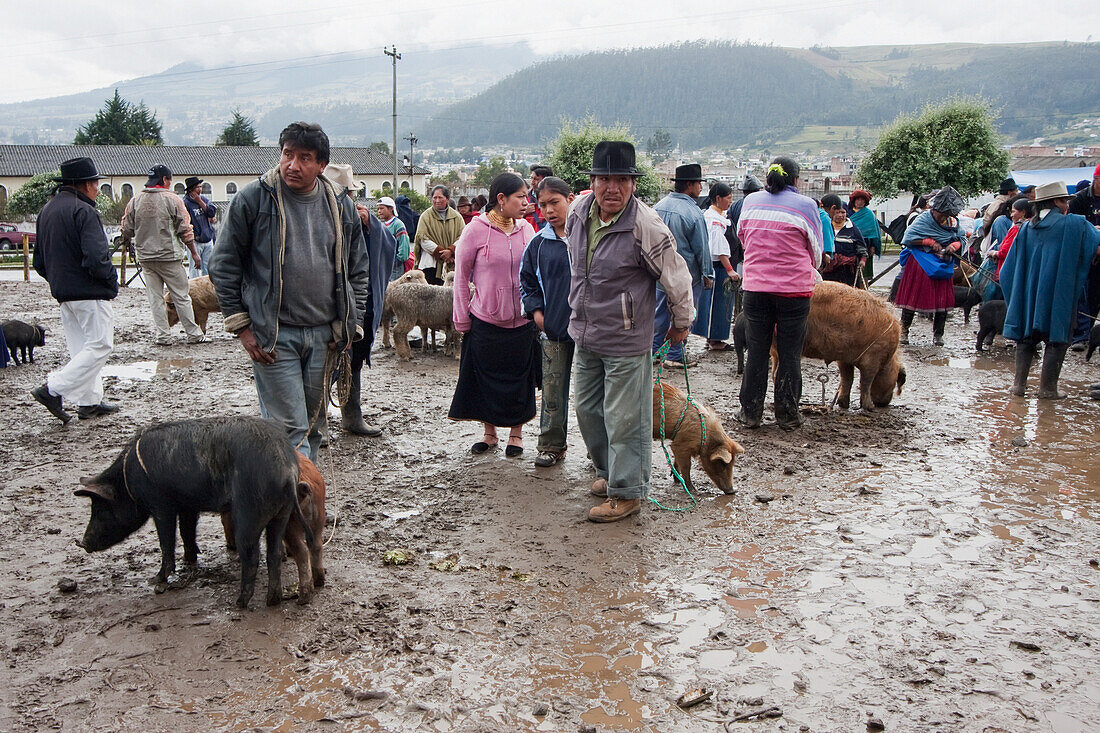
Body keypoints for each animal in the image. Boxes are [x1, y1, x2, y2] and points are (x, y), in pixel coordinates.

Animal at [75, 413, 310, 607]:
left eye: (100, 509)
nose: (83, 543)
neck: (126, 480)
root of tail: (286, 469)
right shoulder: (188, 506)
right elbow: (187, 531)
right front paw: (189, 559)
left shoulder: (161, 505)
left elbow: (166, 541)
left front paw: (156, 580)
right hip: (281, 512)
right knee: (274, 553)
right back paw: (273, 601)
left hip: (249, 513)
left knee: (252, 556)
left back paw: (239, 603)